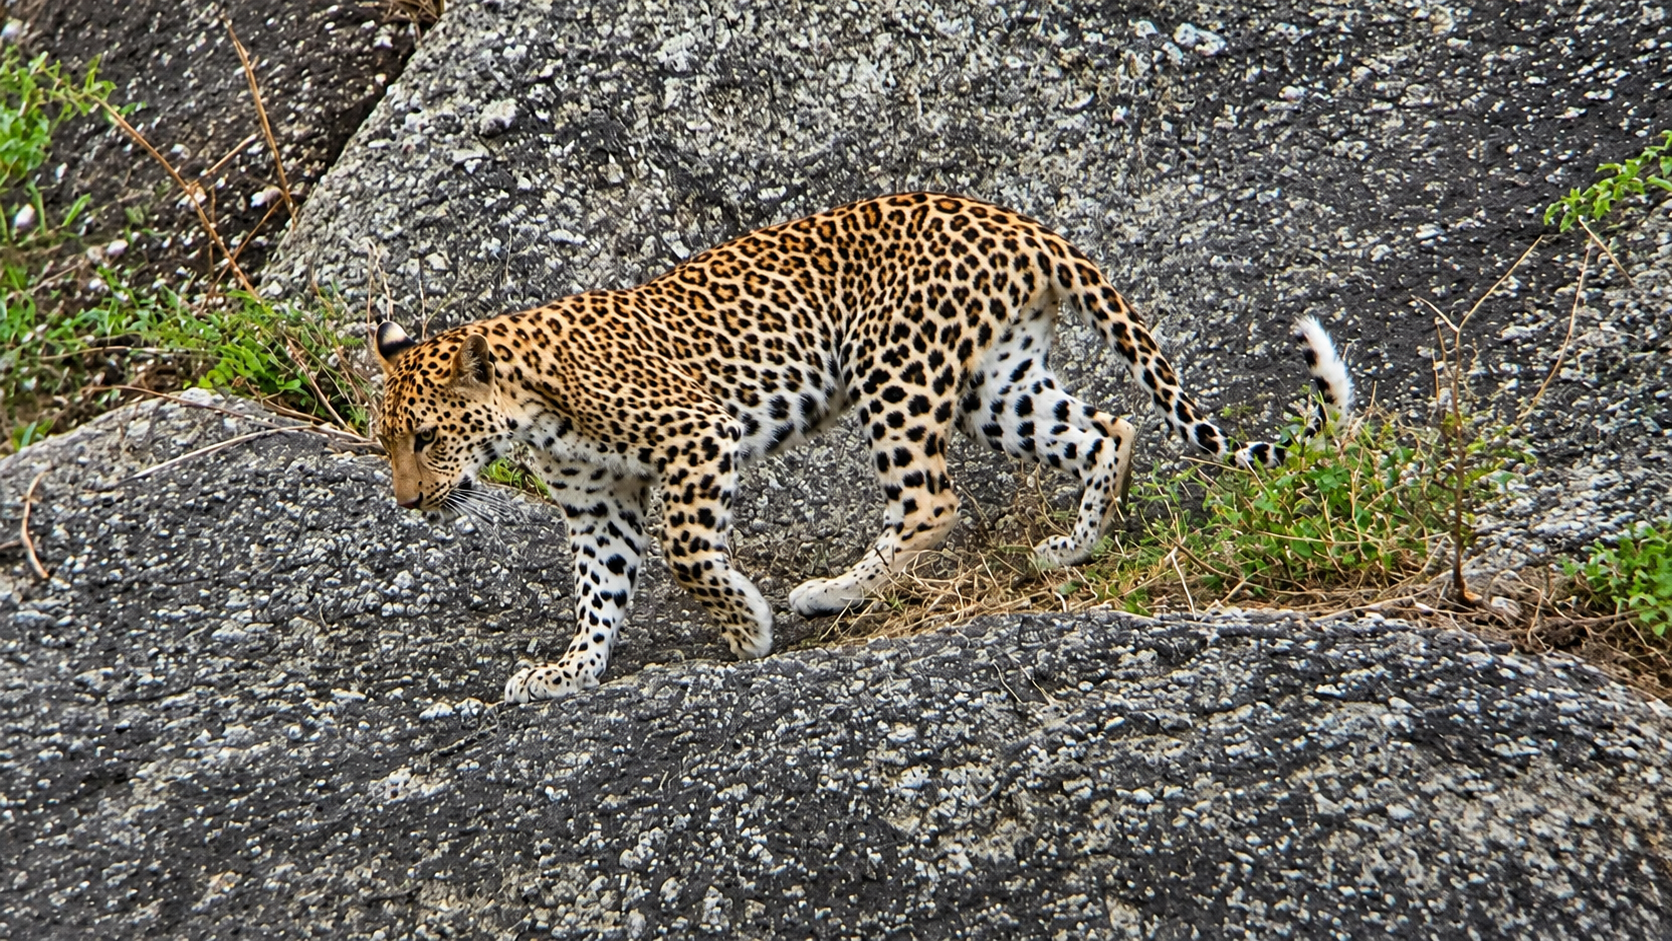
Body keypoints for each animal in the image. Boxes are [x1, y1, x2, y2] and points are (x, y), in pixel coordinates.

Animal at [371, 192, 1353, 704]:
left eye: (426, 437)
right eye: (387, 445)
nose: (407, 504)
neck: (533, 410)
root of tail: (1022, 223)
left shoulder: (698, 437)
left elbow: (688, 553)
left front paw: (745, 627)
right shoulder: (596, 503)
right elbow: (599, 590)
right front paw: (570, 669)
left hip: (899, 371)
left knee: (932, 501)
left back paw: (832, 589)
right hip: (998, 383)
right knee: (1110, 427)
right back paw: (1073, 547)